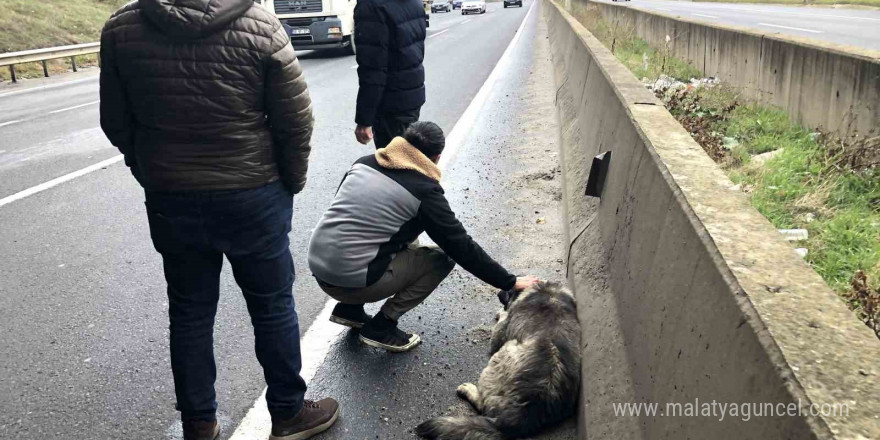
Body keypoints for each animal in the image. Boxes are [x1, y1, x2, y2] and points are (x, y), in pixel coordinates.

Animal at [418, 282, 580, 440]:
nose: (498, 293)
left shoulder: (499, 334)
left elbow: (502, 320)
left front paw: (502, 312)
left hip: (502, 353)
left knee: (484, 405)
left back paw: (468, 389)